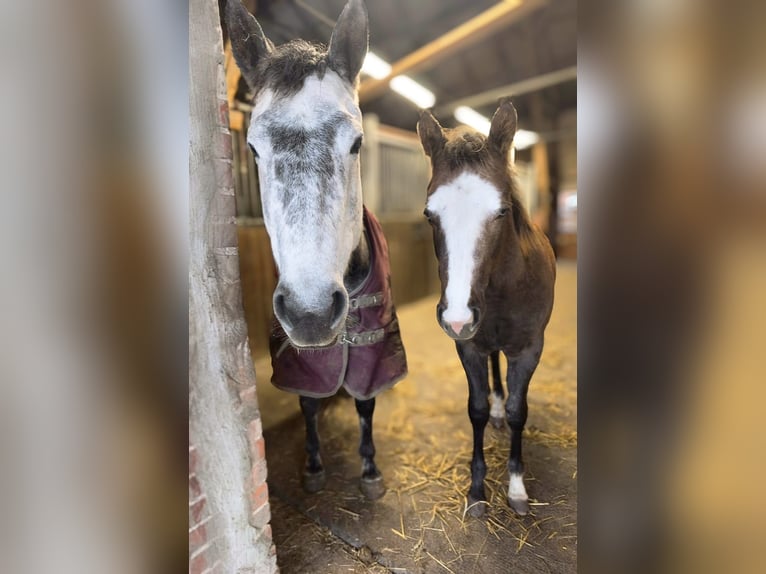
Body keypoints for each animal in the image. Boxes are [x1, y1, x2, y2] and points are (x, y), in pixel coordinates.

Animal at [226, 0, 407, 500]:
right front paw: (312, 467)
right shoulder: (299, 360)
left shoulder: (371, 351)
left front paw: (370, 471)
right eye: (253, 148)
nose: (311, 314)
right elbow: (308, 403)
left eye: (357, 143)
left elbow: (365, 404)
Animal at [416, 99, 556, 517]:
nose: (457, 318)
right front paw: (477, 490)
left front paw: (517, 488)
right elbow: (476, 408)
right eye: (429, 214)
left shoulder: (529, 349)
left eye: (501, 211)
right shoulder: (469, 346)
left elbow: (518, 411)